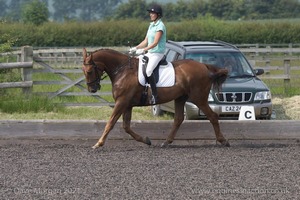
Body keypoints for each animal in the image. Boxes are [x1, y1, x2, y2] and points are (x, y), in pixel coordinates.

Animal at [82, 48, 230, 148]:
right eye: (83, 71)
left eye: (89, 71)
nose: (92, 89)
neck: (122, 70)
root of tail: (204, 66)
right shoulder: (127, 104)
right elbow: (126, 127)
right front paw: (146, 140)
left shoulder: (121, 102)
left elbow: (111, 123)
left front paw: (98, 143)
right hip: (181, 98)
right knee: (178, 119)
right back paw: (166, 142)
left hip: (198, 98)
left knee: (212, 116)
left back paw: (223, 141)